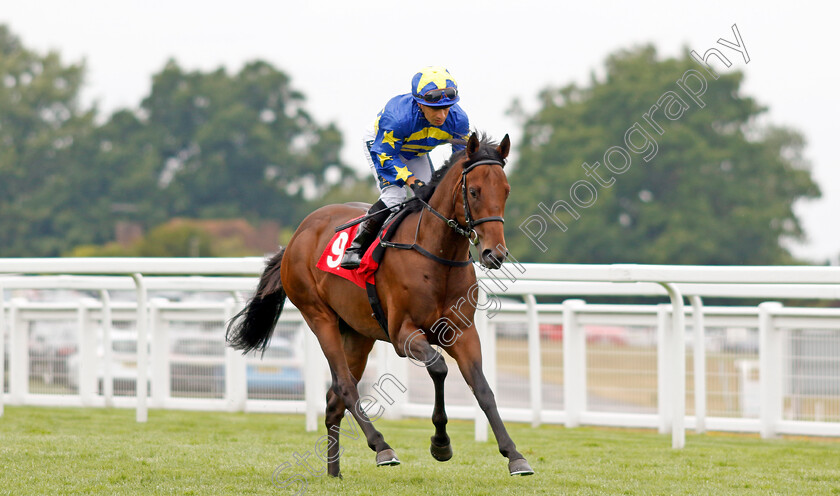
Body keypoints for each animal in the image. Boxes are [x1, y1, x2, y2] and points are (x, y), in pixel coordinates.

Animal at [226, 132, 536, 476]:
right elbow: (438, 367)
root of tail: (297, 235)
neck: (436, 255)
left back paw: (334, 472)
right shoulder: (403, 334)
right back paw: (382, 447)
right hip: (318, 316)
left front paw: (514, 455)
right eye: (474, 191)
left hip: (358, 333)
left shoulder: (462, 332)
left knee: (333, 400)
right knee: (346, 386)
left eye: (506, 190)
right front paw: (440, 443)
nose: (495, 253)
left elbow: (482, 389)